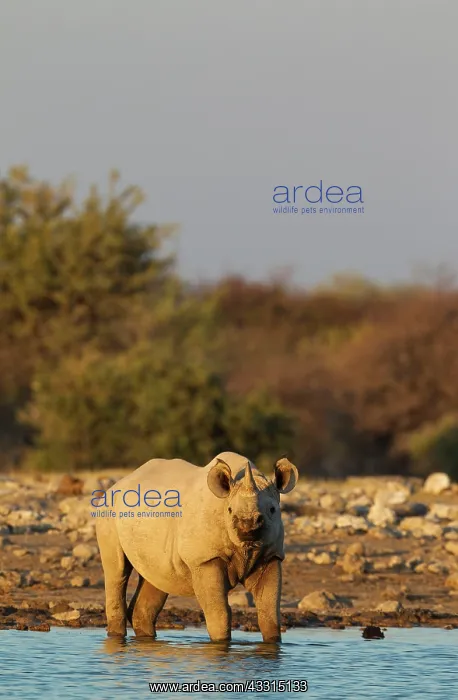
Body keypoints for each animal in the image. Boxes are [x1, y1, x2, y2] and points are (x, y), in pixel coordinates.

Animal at [95, 451, 298, 642]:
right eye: (229, 510)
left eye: (273, 510)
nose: (248, 526)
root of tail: (118, 484)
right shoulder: (205, 559)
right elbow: (220, 613)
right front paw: (220, 644)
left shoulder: (270, 556)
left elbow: (269, 612)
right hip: (108, 511)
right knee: (117, 572)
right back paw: (117, 637)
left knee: (155, 578)